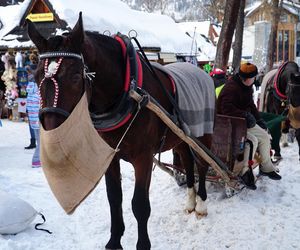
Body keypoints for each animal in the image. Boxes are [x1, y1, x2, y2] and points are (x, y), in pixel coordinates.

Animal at [27, 13, 214, 250]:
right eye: (35, 77)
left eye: (76, 76)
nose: (52, 135)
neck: (127, 91)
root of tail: (201, 71)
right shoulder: (110, 156)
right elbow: (114, 198)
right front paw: (114, 241)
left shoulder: (143, 158)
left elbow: (140, 204)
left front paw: (142, 244)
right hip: (180, 136)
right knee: (188, 162)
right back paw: (190, 201)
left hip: (202, 135)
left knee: (203, 164)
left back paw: (202, 205)